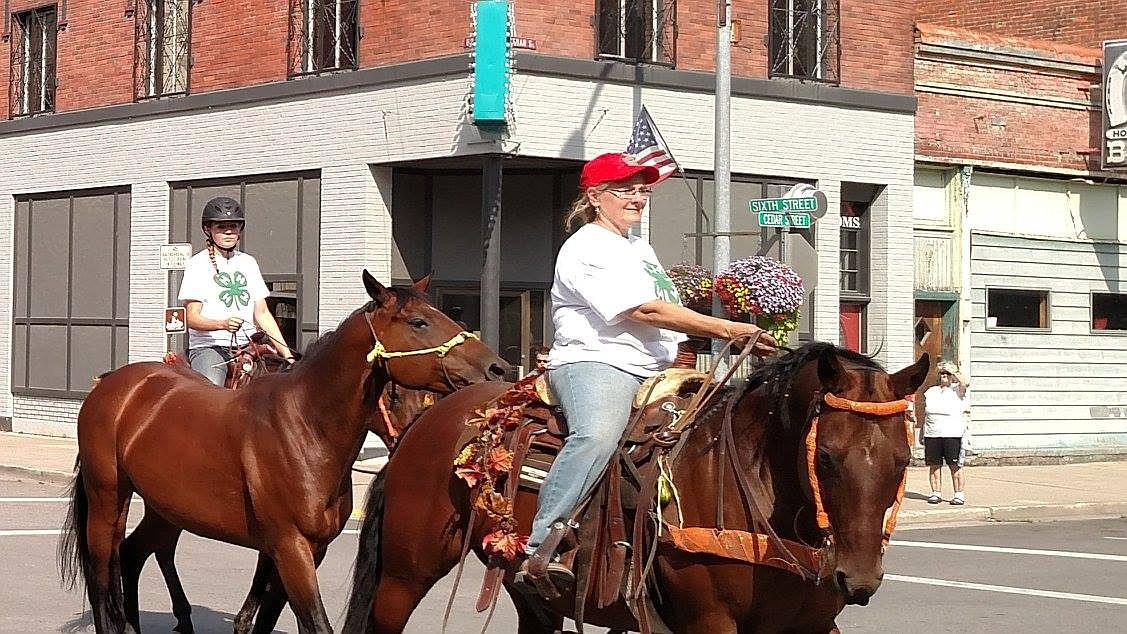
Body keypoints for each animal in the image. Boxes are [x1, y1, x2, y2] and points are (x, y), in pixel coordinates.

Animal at [57, 272, 507, 634]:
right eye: (419, 322)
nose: (497, 368)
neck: (305, 426)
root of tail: (113, 384)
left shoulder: (308, 551)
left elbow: (267, 616)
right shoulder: (291, 548)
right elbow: (312, 622)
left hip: (165, 508)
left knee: (134, 555)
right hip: (108, 497)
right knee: (102, 575)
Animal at [340, 344, 924, 630]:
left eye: (903, 459)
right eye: (825, 457)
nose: (858, 579)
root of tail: (426, 419)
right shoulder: (709, 622)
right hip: (405, 573)